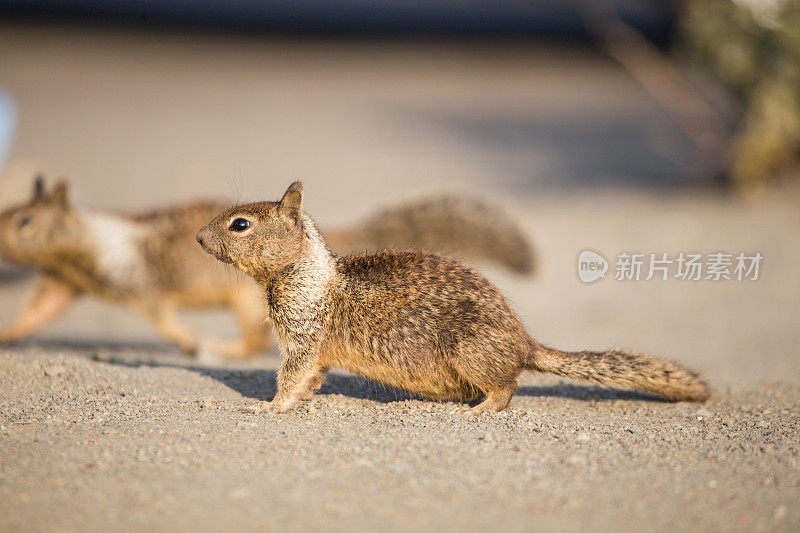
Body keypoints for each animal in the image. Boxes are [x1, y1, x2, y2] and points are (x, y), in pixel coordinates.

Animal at [1, 177, 536, 356]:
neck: (85, 242)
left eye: (25, 221)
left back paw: (224, 348)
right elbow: (38, 312)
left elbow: (164, 319)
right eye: (10, 211)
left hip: (242, 303)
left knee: (256, 341)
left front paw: (188, 342)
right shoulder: (61, 283)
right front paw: (10, 334)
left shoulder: (141, 286)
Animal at [197, 181, 708, 414]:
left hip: (471, 350)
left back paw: (481, 410)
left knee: (507, 387)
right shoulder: (312, 349)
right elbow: (309, 380)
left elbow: (292, 375)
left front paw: (268, 407)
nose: (199, 238)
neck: (309, 273)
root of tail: (524, 342)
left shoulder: (304, 336)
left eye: (240, 224)